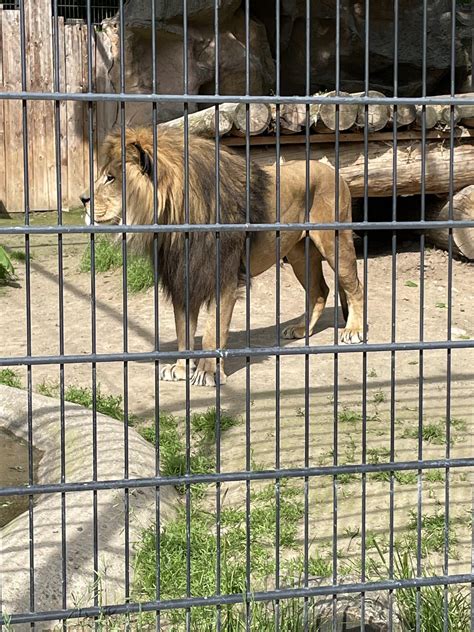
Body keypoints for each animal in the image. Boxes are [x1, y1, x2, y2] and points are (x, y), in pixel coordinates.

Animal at [79, 126, 364, 388]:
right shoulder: (185, 276)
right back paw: (302, 329)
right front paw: (180, 369)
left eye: (110, 178)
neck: (174, 222)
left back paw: (354, 331)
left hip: (334, 243)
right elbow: (184, 332)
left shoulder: (224, 277)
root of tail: (331, 169)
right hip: (298, 254)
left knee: (354, 287)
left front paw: (207, 372)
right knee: (320, 291)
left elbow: (212, 332)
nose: (82, 199)